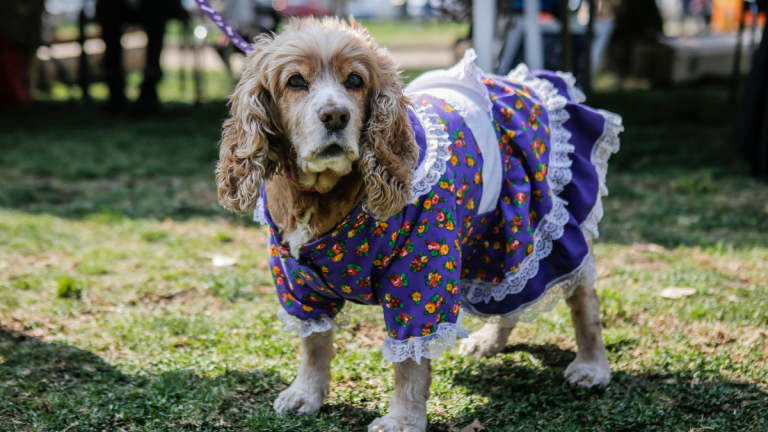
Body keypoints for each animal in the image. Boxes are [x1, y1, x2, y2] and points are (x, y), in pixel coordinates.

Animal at [213, 16, 620, 432]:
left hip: (545, 221)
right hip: (494, 238)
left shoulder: (418, 277)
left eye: (355, 80)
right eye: (295, 81)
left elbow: (409, 356)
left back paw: (591, 366)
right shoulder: (297, 282)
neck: (321, 196)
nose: (336, 115)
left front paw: (402, 419)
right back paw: (491, 340)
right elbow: (314, 341)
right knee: (513, 290)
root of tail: (524, 80)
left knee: (582, 296)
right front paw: (306, 394)